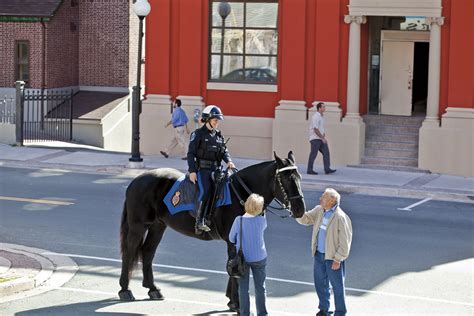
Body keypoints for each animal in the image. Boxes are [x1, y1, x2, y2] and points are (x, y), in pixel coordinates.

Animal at [118, 151, 304, 312]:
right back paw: (125, 290)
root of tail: (135, 181)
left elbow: (233, 266)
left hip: (158, 225)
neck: (241, 194)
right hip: (138, 226)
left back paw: (153, 289)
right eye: (285, 179)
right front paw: (236, 303)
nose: (300, 209)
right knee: (129, 252)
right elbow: (234, 268)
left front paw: (231, 300)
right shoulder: (233, 240)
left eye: (299, 177)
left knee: (148, 252)